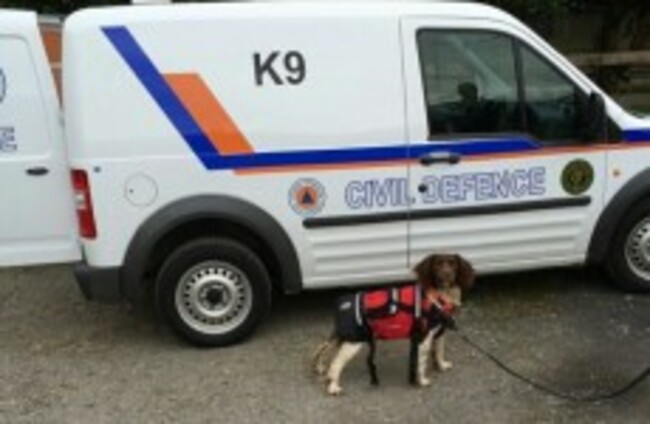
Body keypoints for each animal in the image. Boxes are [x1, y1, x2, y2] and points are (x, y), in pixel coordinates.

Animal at [313, 254, 475, 395]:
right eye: (437, 265)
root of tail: (342, 307)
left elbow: (440, 351)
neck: (439, 298)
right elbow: (421, 363)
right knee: (335, 364)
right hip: (354, 342)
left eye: (453, 264)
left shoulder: (439, 333)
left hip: (343, 335)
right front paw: (422, 381)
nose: (447, 274)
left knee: (321, 348)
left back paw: (319, 368)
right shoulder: (424, 338)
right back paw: (333, 387)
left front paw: (442, 366)